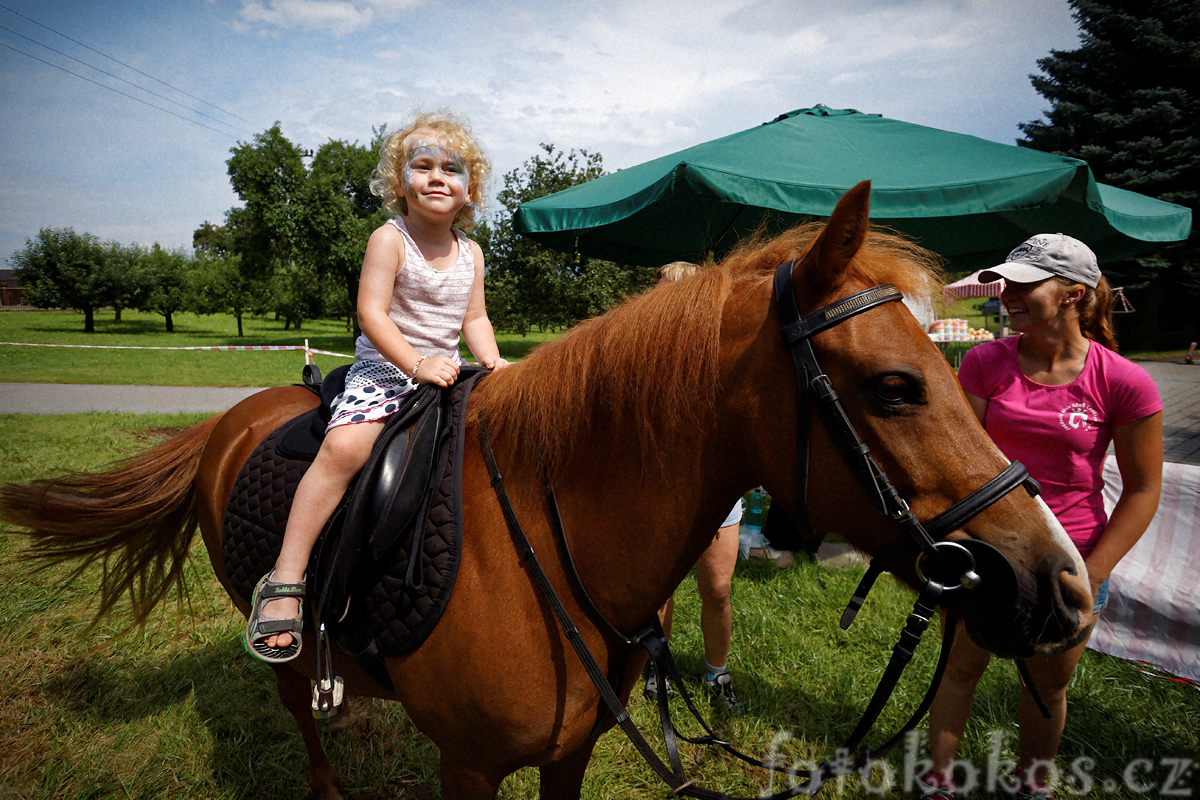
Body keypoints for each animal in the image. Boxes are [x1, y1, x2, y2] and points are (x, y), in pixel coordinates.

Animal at [0, 183, 1094, 800]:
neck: (544, 547)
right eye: (896, 385)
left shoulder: (566, 756)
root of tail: (236, 415)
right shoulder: (469, 767)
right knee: (296, 707)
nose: (1062, 585)